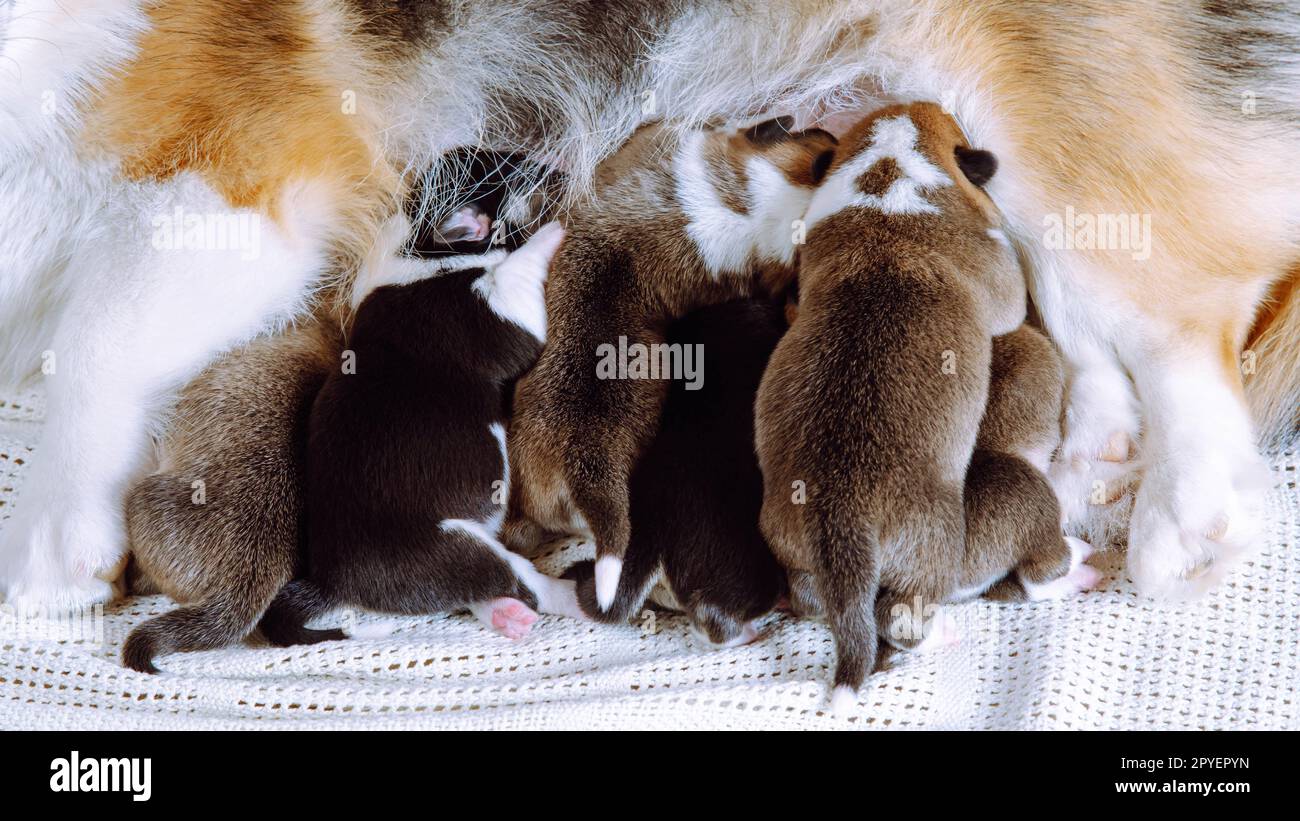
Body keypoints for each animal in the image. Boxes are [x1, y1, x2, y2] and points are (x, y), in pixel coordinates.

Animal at [759, 101, 1029, 711]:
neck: (887, 175)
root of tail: (840, 517)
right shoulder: (1004, 290)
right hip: (932, 542)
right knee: (901, 617)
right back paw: (938, 634)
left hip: (791, 545)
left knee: (814, 601)